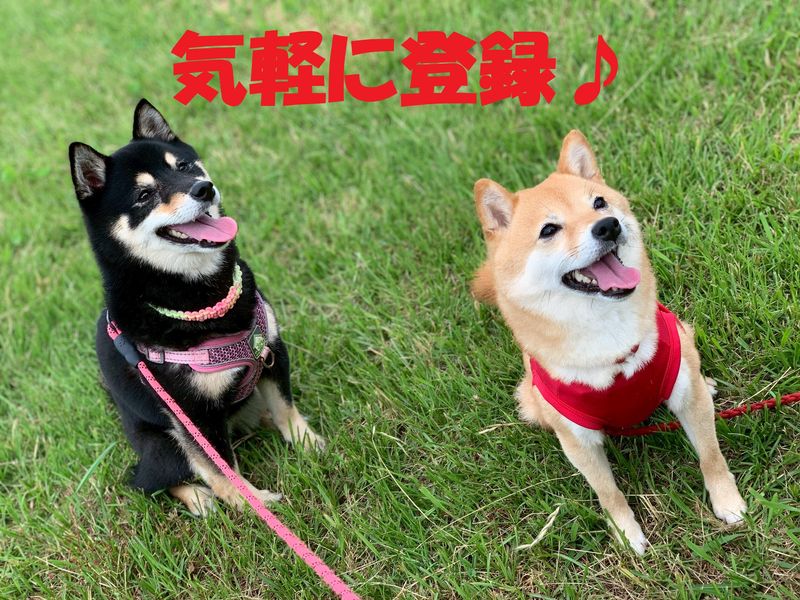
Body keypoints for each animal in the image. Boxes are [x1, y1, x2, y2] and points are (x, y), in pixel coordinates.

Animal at [69, 99, 323, 516]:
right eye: (144, 196)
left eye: (184, 166)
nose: (203, 189)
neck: (202, 298)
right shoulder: (190, 415)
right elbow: (223, 471)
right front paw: (254, 504)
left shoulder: (272, 353)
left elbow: (286, 408)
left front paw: (308, 444)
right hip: (165, 444)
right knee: (144, 482)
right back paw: (199, 499)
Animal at [471, 130, 746, 553]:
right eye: (548, 230)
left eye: (598, 202)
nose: (608, 226)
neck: (610, 342)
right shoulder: (579, 442)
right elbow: (608, 493)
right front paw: (626, 533)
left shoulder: (688, 397)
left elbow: (711, 456)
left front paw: (726, 500)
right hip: (530, 400)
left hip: (683, 337)